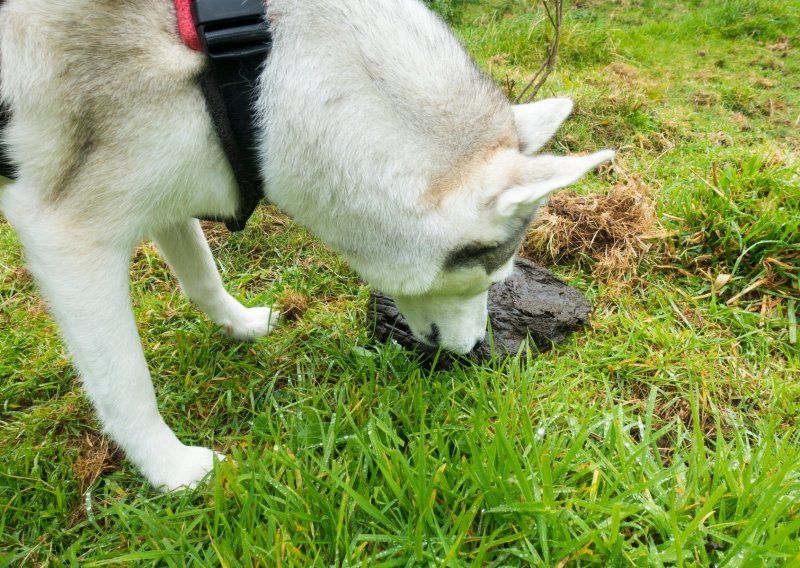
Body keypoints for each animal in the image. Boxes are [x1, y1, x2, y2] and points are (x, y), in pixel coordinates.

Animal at [0, 0, 612, 488]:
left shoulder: (164, 190)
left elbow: (203, 277)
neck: (262, 74)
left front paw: (240, 324)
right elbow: (125, 385)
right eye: (490, 278)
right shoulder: (68, 235)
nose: (473, 350)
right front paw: (171, 470)